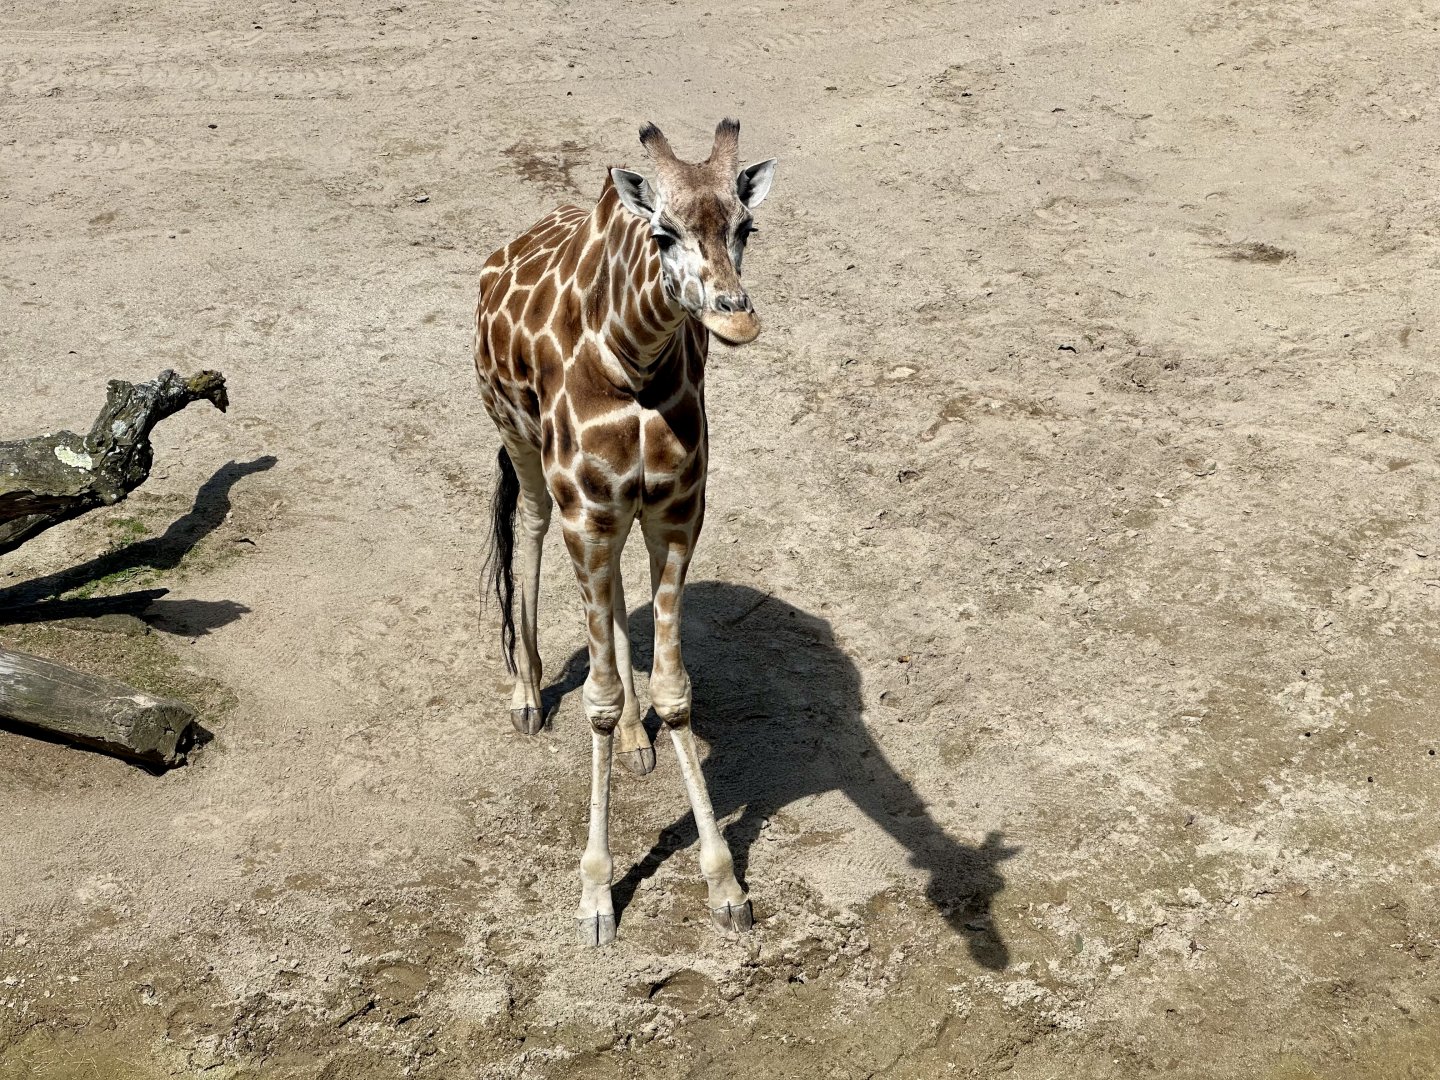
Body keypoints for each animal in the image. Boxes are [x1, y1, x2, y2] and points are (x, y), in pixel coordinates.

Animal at [473, 119, 777, 945]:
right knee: (531, 523)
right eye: (663, 232)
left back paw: (640, 743)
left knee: (612, 597)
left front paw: (723, 882)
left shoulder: (675, 512)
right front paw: (595, 894)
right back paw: (527, 692)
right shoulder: (588, 508)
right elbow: (598, 699)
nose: (736, 316)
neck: (632, 359)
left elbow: (674, 689)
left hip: (623, 514)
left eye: (746, 226)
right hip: (519, 441)